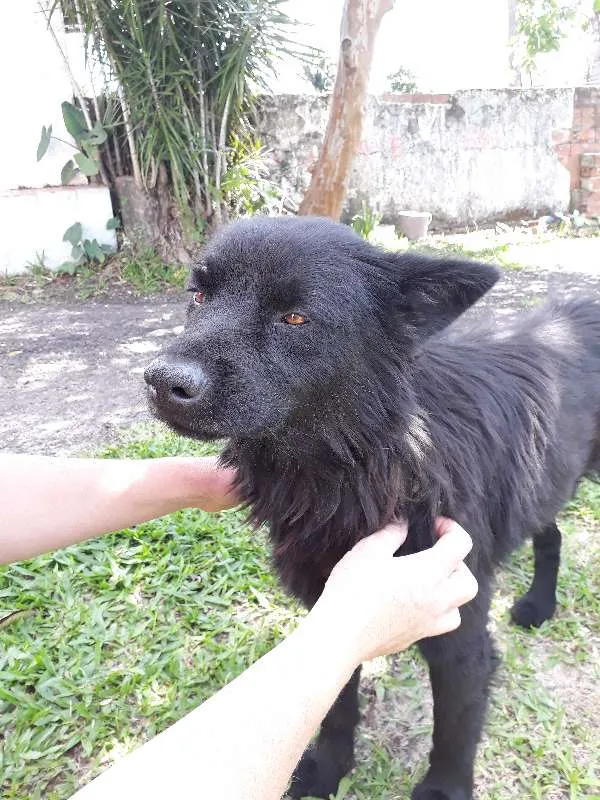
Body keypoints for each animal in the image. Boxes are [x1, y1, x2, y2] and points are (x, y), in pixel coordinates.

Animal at [144, 217, 600, 800]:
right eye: (199, 295)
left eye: (295, 316)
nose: (161, 382)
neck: (361, 466)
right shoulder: (336, 611)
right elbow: (334, 706)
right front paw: (326, 769)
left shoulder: (460, 632)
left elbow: (456, 724)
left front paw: (444, 789)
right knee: (552, 533)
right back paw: (540, 605)